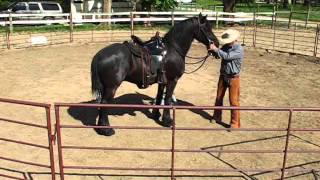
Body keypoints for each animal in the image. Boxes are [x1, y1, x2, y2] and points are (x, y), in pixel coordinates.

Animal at [91, 13, 219, 135]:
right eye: (206, 28)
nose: (216, 44)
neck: (173, 49)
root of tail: (99, 55)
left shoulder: (162, 81)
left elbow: (159, 96)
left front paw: (156, 115)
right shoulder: (172, 80)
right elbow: (167, 99)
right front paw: (167, 121)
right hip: (111, 87)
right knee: (104, 103)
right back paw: (106, 130)